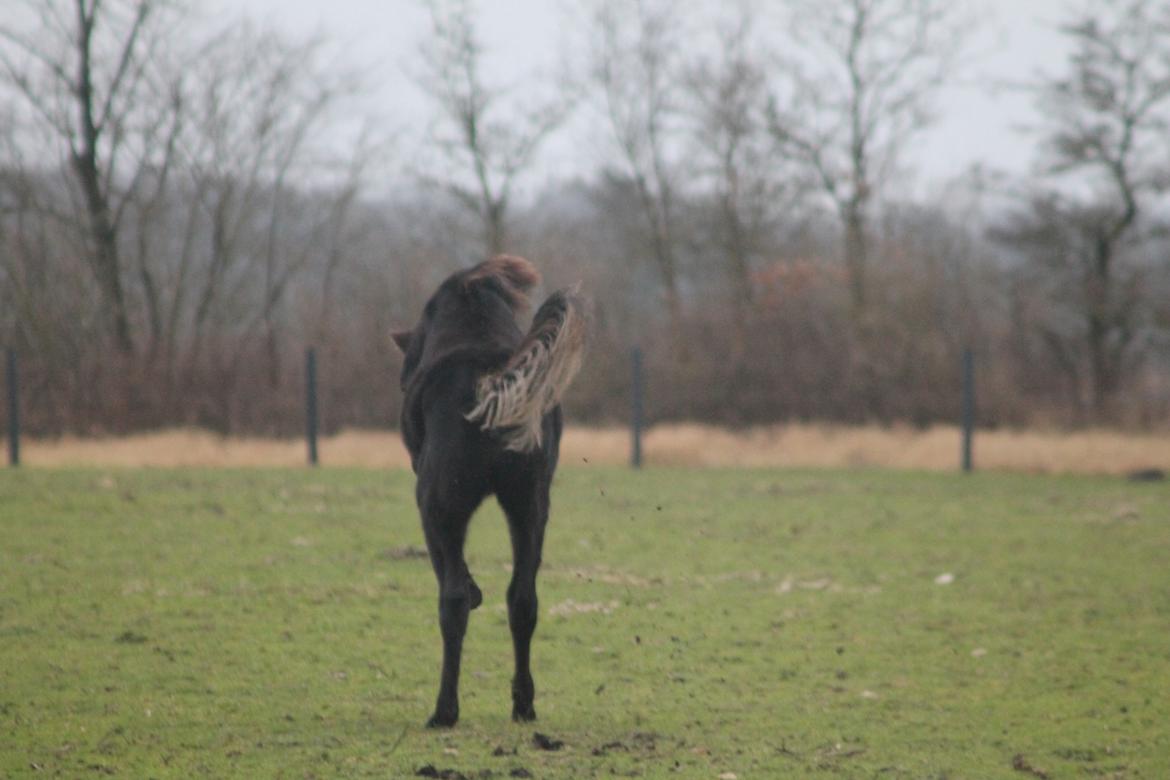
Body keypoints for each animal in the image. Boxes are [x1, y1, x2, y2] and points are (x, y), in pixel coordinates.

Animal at [393, 259, 589, 729]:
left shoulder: (432, 502)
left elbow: (451, 572)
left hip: (439, 502)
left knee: (453, 602)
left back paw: (444, 710)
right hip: (529, 506)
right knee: (523, 600)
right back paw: (523, 704)